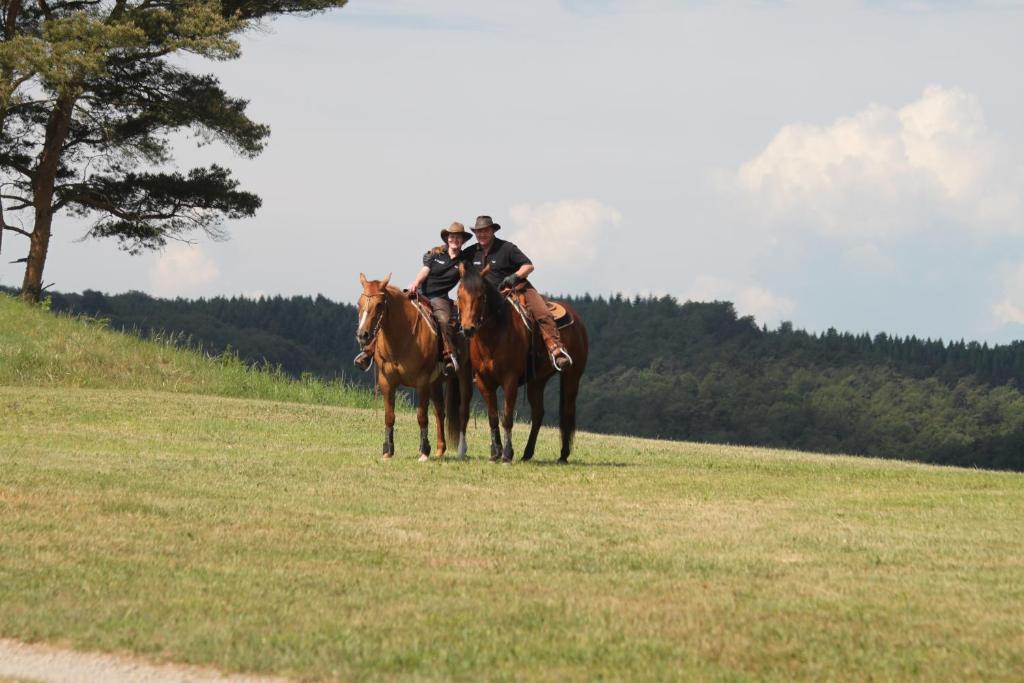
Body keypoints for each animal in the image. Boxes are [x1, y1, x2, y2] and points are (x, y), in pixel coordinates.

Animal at [356, 274, 471, 462]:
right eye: (359, 303)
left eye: (379, 304)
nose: (362, 335)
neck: (402, 338)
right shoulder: (386, 381)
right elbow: (389, 416)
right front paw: (387, 451)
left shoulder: (422, 382)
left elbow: (421, 416)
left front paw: (424, 451)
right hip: (435, 383)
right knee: (440, 412)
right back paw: (440, 450)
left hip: (464, 376)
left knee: (462, 412)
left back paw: (461, 449)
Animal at [458, 264, 589, 462]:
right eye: (459, 295)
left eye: (481, 296)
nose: (468, 329)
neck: (494, 334)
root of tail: (578, 320)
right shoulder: (483, 381)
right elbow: (493, 417)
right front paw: (495, 452)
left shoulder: (510, 379)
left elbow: (507, 417)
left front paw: (507, 453)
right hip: (537, 381)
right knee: (538, 413)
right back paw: (527, 453)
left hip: (572, 375)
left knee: (567, 410)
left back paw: (563, 455)